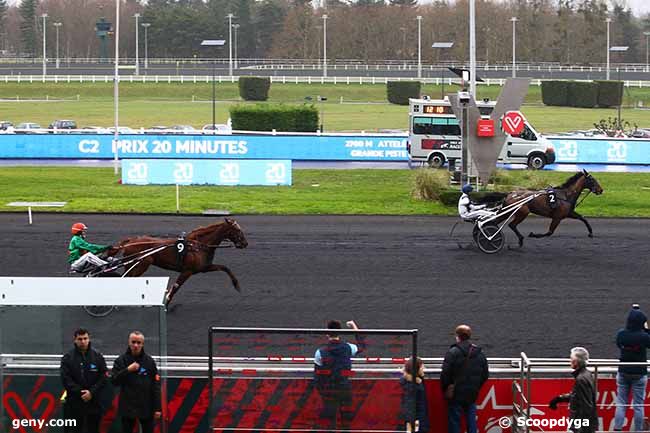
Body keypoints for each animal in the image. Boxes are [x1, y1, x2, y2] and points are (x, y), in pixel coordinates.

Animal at [106, 218, 248, 306]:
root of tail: (130, 241)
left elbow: (225, 268)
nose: (245, 243)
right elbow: (175, 287)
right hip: (142, 264)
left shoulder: (203, 267)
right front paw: (166, 303)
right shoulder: (187, 270)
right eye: (237, 230)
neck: (198, 245)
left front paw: (237, 285)